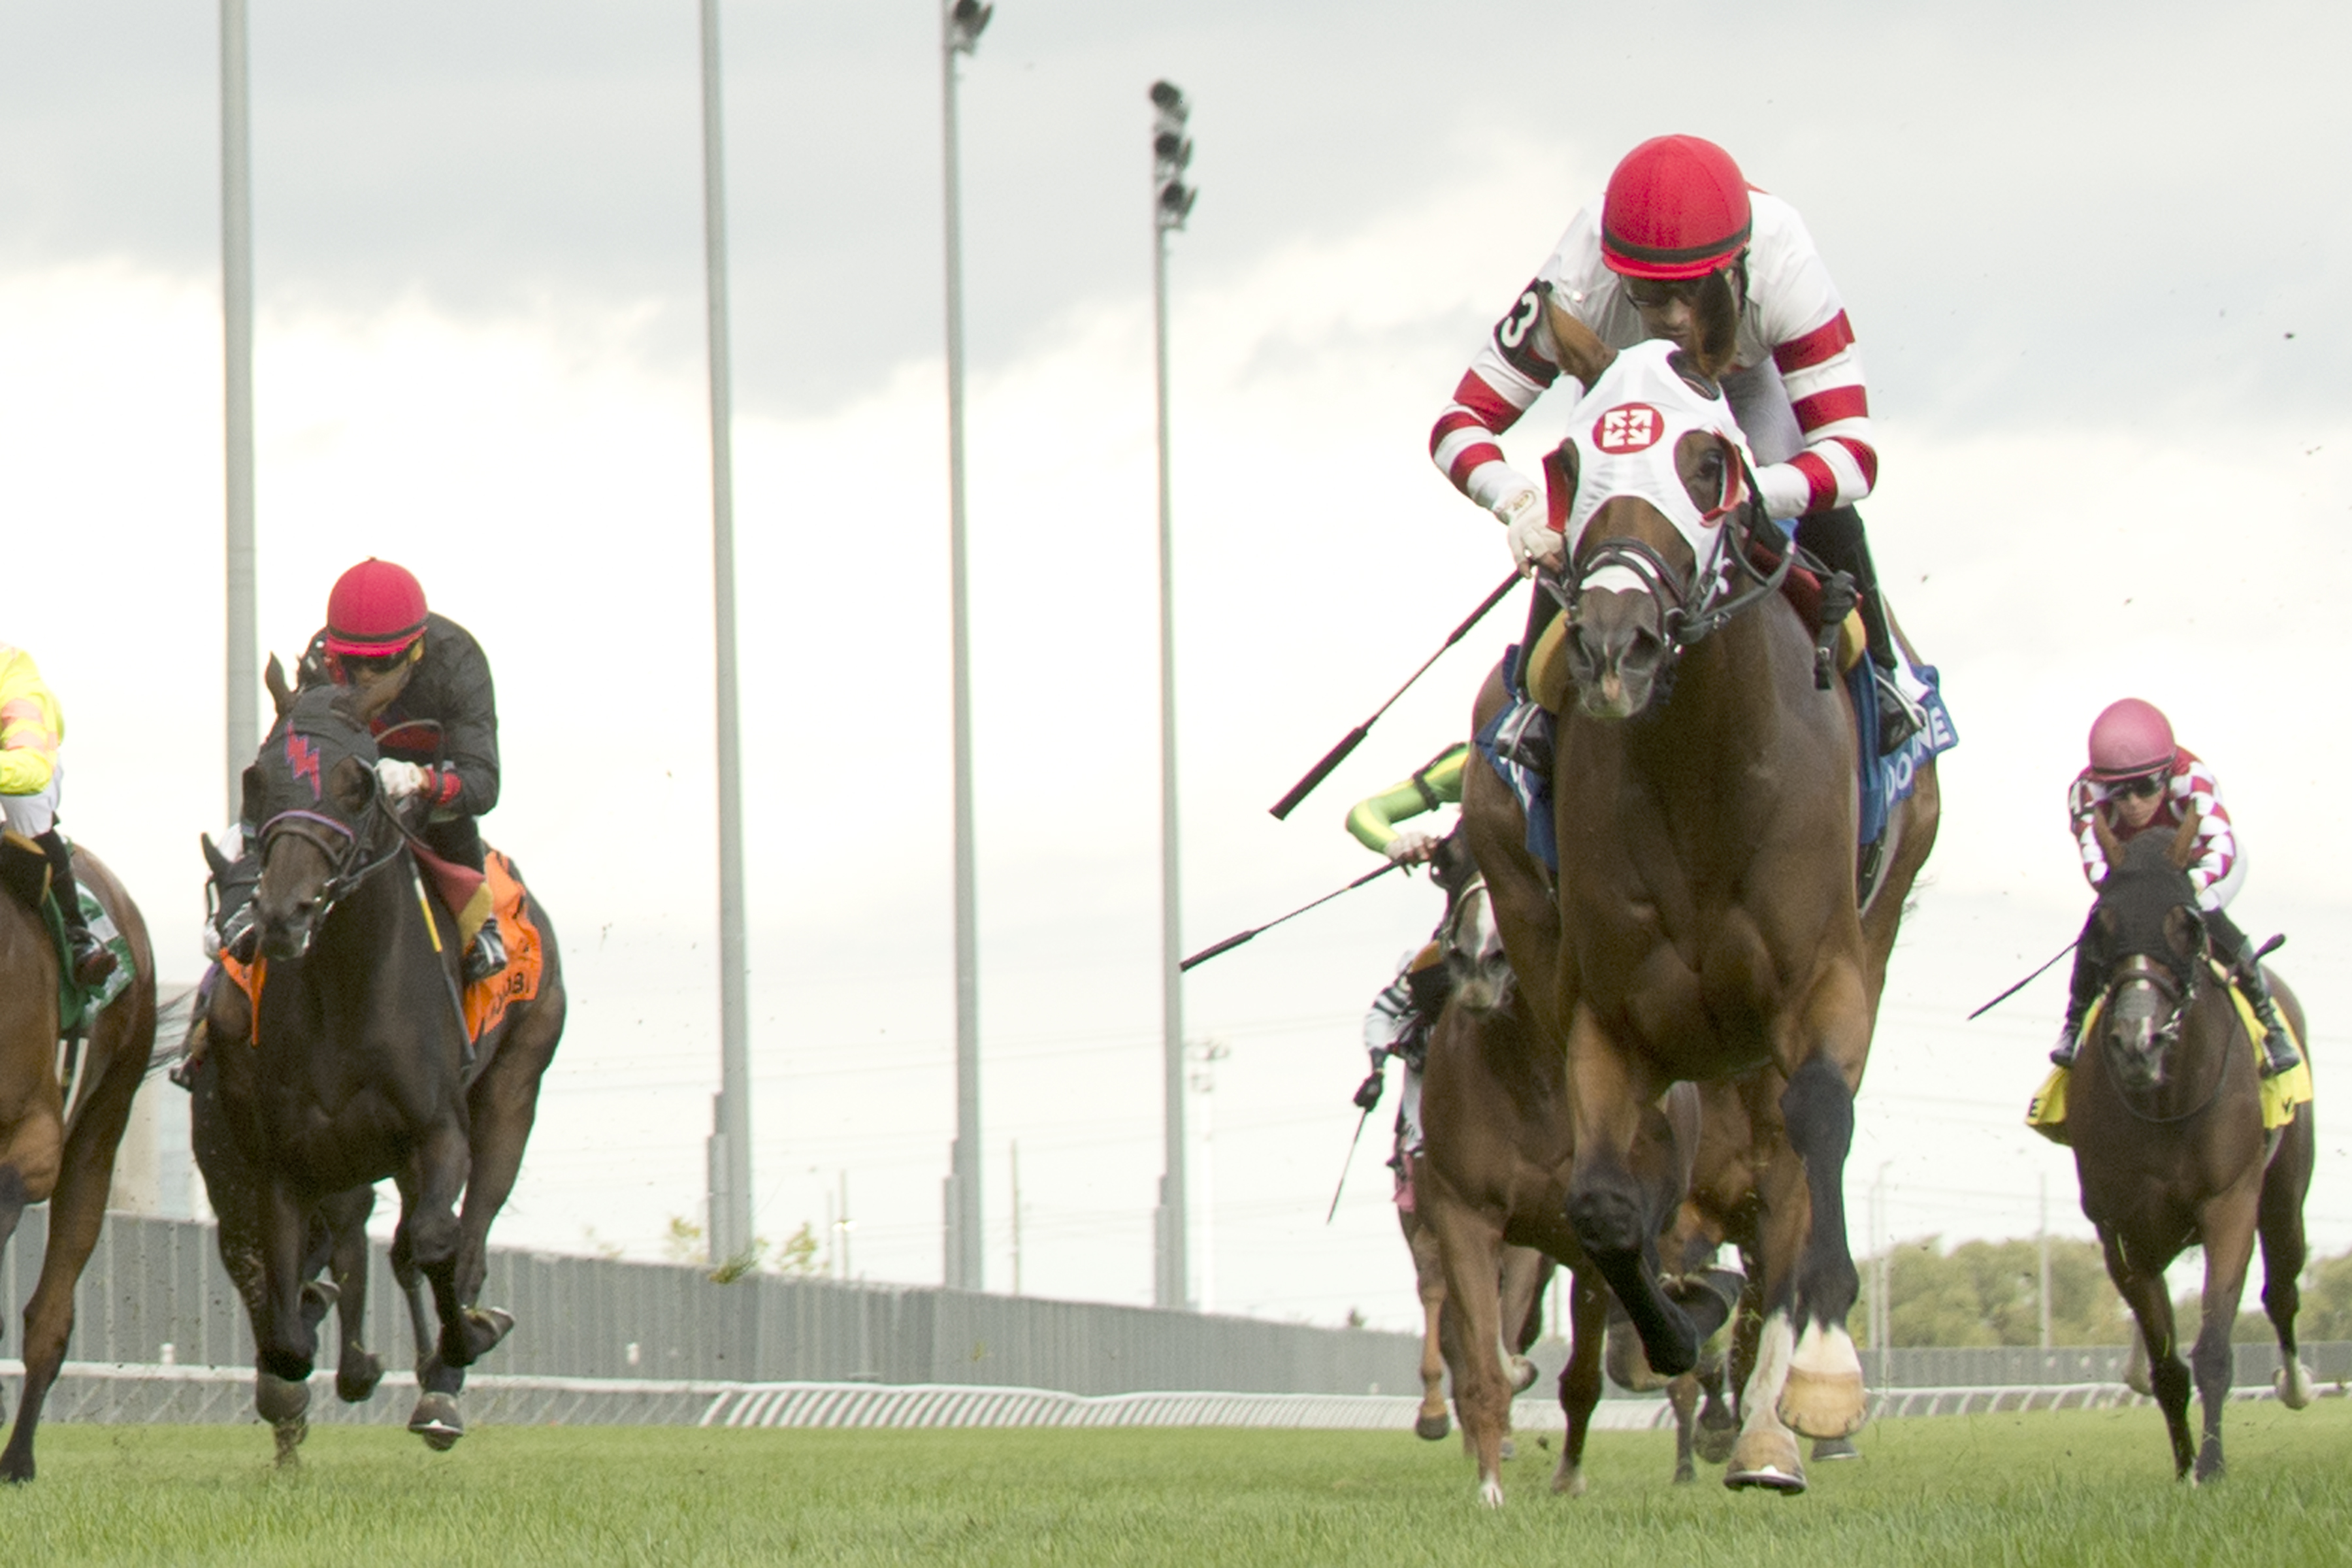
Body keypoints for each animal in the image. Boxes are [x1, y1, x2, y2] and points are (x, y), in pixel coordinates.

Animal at [1458, 315, 1938, 1495]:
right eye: (1569, 460)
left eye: (1709, 462)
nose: (1616, 642)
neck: (1704, 773)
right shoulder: (1606, 1015)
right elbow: (1601, 1207)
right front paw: (1677, 1325)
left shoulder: (1824, 982)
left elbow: (1817, 1138)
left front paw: (1819, 1378)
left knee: (1794, 1173)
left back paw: (1771, 1426)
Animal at [2079, 808, 2314, 1486]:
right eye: (2102, 924)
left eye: (2185, 924)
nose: (2139, 1041)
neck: (2164, 1101)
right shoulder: (2120, 1230)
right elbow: (2167, 1365)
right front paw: (2185, 1467)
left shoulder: (2229, 1203)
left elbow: (2212, 1350)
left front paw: (2210, 1467)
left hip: (2284, 1199)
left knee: (2283, 1290)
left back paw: (2296, 1385)